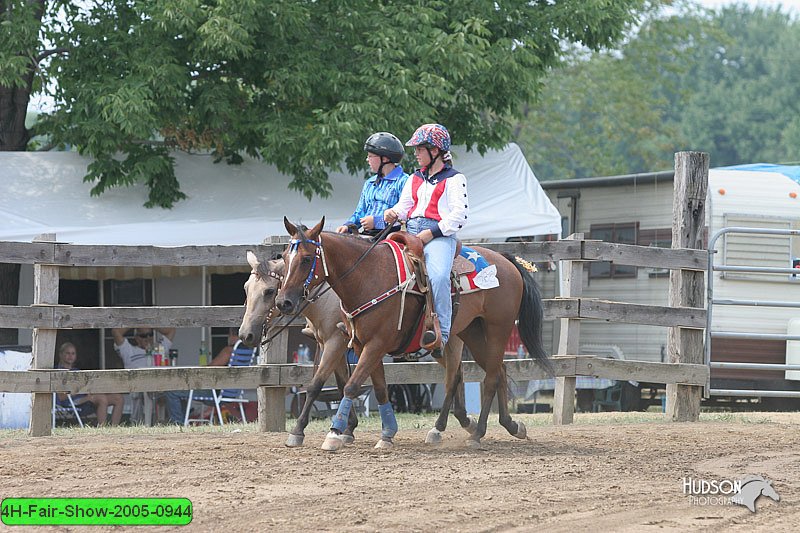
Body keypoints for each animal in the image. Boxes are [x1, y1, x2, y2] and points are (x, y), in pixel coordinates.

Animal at [276, 216, 552, 448]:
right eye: (285, 259)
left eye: (306, 259)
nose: (283, 302)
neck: (368, 277)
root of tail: (507, 261)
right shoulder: (362, 344)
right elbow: (373, 388)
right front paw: (386, 433)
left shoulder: (371, 344)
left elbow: (351, 386)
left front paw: (334, 433)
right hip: (471, 334)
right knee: (488, 373)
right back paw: (506, 425)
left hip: (497, 329)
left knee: (491, 377)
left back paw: (477, 433)